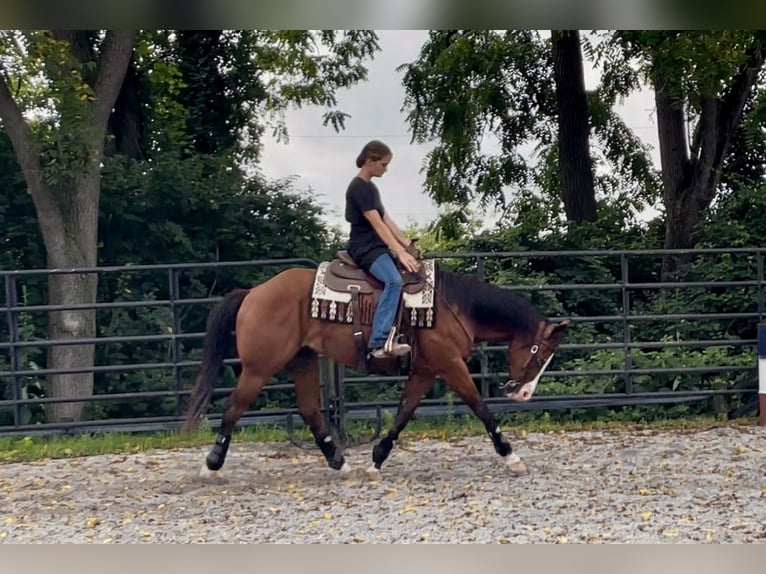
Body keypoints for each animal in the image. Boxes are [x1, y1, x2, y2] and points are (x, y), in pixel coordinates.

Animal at [183, 253, 570, 480]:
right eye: (539, 354)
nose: (524, 394)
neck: (453, 305)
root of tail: (252, 293)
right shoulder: (450, 365)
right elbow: (480, 408)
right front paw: (511, 457)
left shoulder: (425, 370)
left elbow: (403, 413)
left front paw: (376, 459)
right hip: (259, 368)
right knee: (235, 407)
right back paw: (211, 465)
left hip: (302, 361)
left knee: (309, 410)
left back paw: (340, 463)